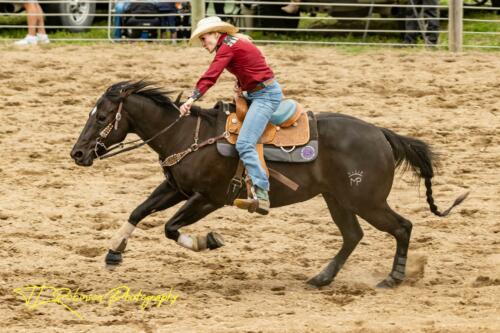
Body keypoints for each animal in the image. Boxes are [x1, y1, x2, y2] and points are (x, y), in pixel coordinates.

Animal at [68, 81, 466, 288]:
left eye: (102, 117)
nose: (77, 153)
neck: (186, 135)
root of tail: (381, 134)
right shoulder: (176, 188)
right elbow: (139, 211)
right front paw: (114, 252)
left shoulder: (209, 197)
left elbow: (169, 227)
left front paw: (208, 241)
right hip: (338, 200)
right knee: (353, 236)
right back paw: (322, 277)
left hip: (366, 200)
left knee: (403, 226)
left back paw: (393, 277)